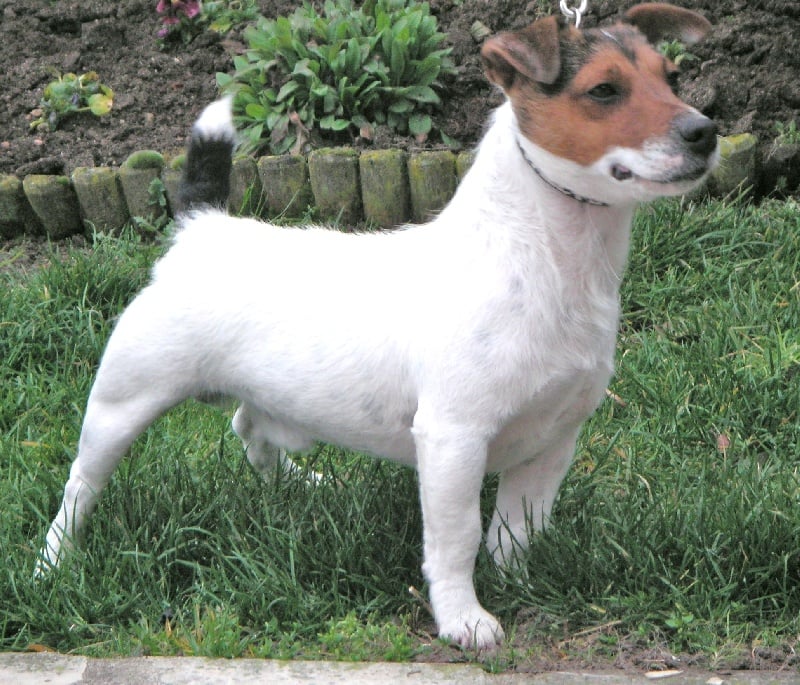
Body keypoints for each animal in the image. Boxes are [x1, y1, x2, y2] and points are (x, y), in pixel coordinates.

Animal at [37, 2, 720, 648]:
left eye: (672, 77)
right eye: (604, 90)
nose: (706, 132)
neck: (543, 259)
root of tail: (202, 227)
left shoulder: (553, 440)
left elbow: (517, 528)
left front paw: (520, 582)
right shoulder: (452, 440)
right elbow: (457, 536)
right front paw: (463, 620)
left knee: (248, 427)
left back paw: (297, 486)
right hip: (122, 403)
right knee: (80, 487)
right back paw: (54, 565)